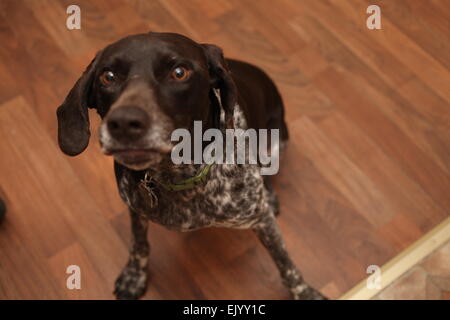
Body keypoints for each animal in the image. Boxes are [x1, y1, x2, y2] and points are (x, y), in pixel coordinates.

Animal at [56, 32, 326, 300]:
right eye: (108, 76)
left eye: (179, 72)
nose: (123, 122)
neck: (177, 176)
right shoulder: (136, 208)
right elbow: (138, 245)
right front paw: (134, 276)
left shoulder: (262, 221)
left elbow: (285, 262)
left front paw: (305, 292)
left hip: (277, 141)